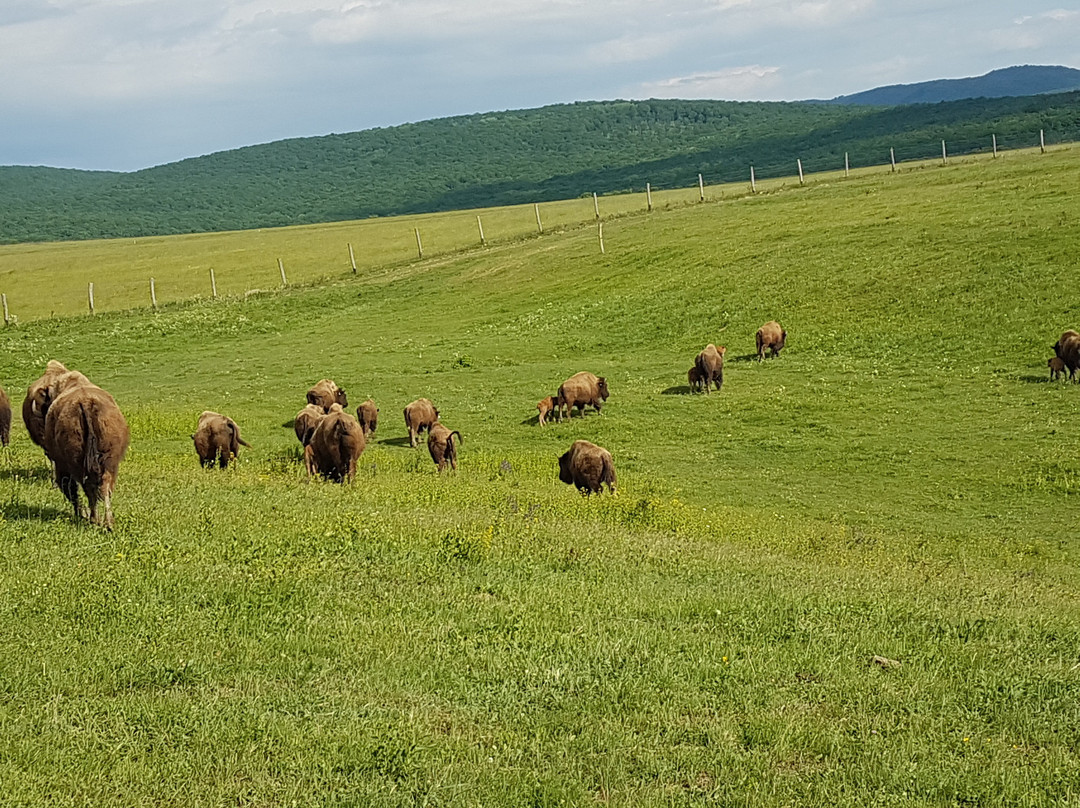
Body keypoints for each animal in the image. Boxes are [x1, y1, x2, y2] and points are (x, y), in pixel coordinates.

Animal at [40, 367, 129, 529]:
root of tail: (86, 401)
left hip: (76, 464)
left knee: (86, 487)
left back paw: (94, 519)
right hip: (109, 461)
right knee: (104, 485)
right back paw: (108, 522)